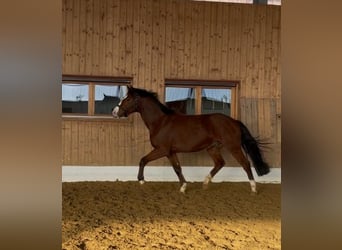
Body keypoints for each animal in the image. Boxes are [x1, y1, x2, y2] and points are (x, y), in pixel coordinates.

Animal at [113, 86, 270, 193]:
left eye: (127, 99)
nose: (114, 112)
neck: (160, 122)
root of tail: (234, 121)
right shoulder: (170, 152)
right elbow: (177, 168)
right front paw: (183, 187)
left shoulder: (162, 150)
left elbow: (143, 160)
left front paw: (141, 180)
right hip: (212, 148)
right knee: (220, 163)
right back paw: (205, 183)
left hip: (234, 147)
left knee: (245, 164)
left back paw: (253, 188)